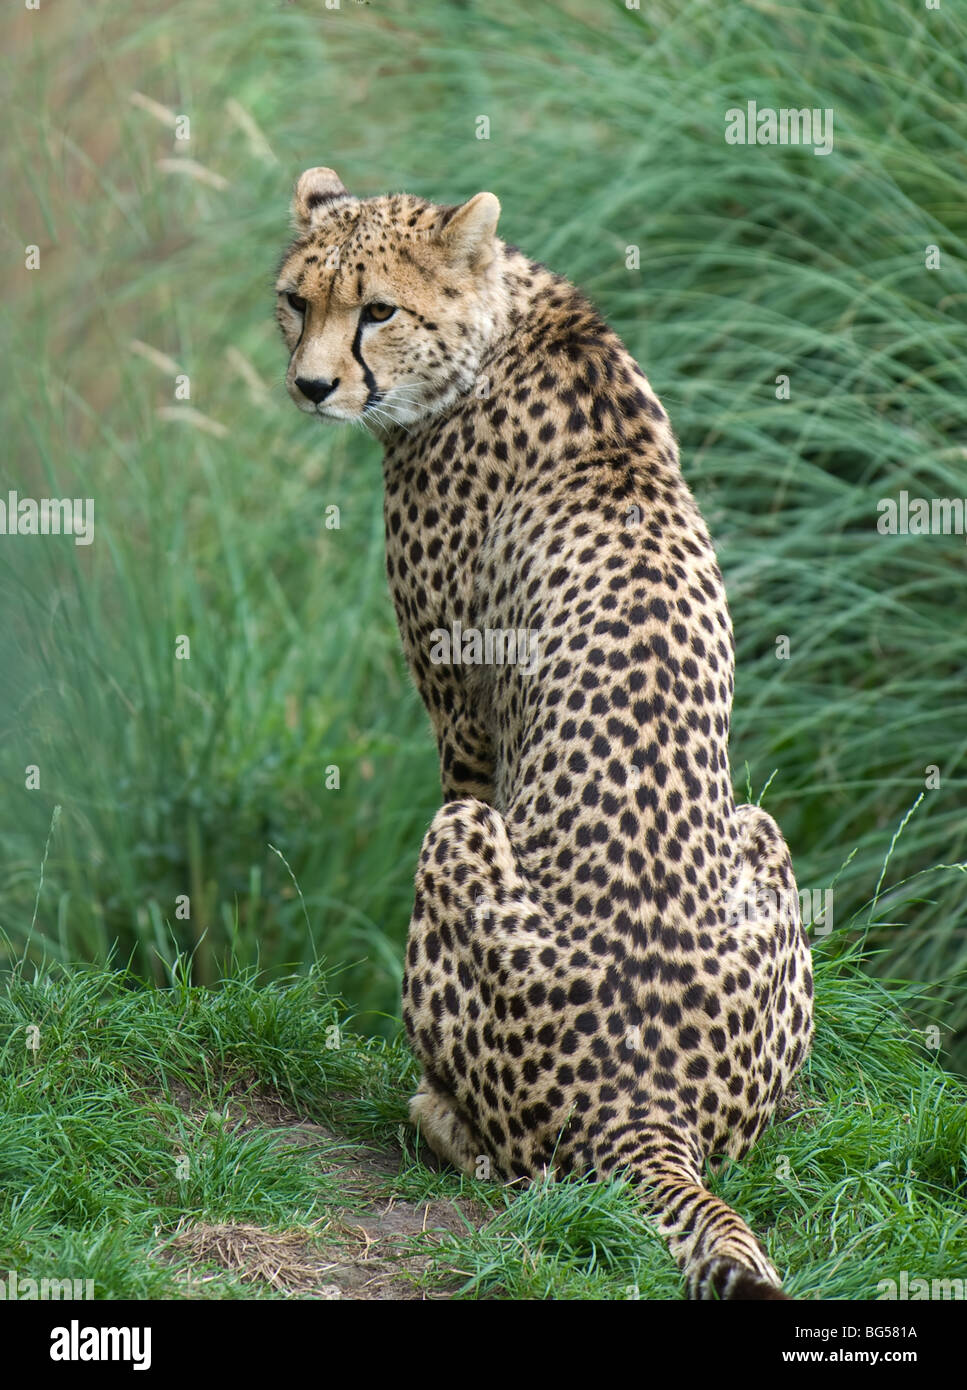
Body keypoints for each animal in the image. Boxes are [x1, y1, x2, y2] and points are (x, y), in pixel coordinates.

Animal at [275, 168, 811, 1295]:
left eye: (377, 311)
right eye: (298, 301)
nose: (310, 386)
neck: (497, 328)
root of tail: (643, 1104)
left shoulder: (462, 719)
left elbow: (464, 767)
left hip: (461, 848)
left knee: (513, 1159)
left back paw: (433, 1114)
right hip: (758, 830)